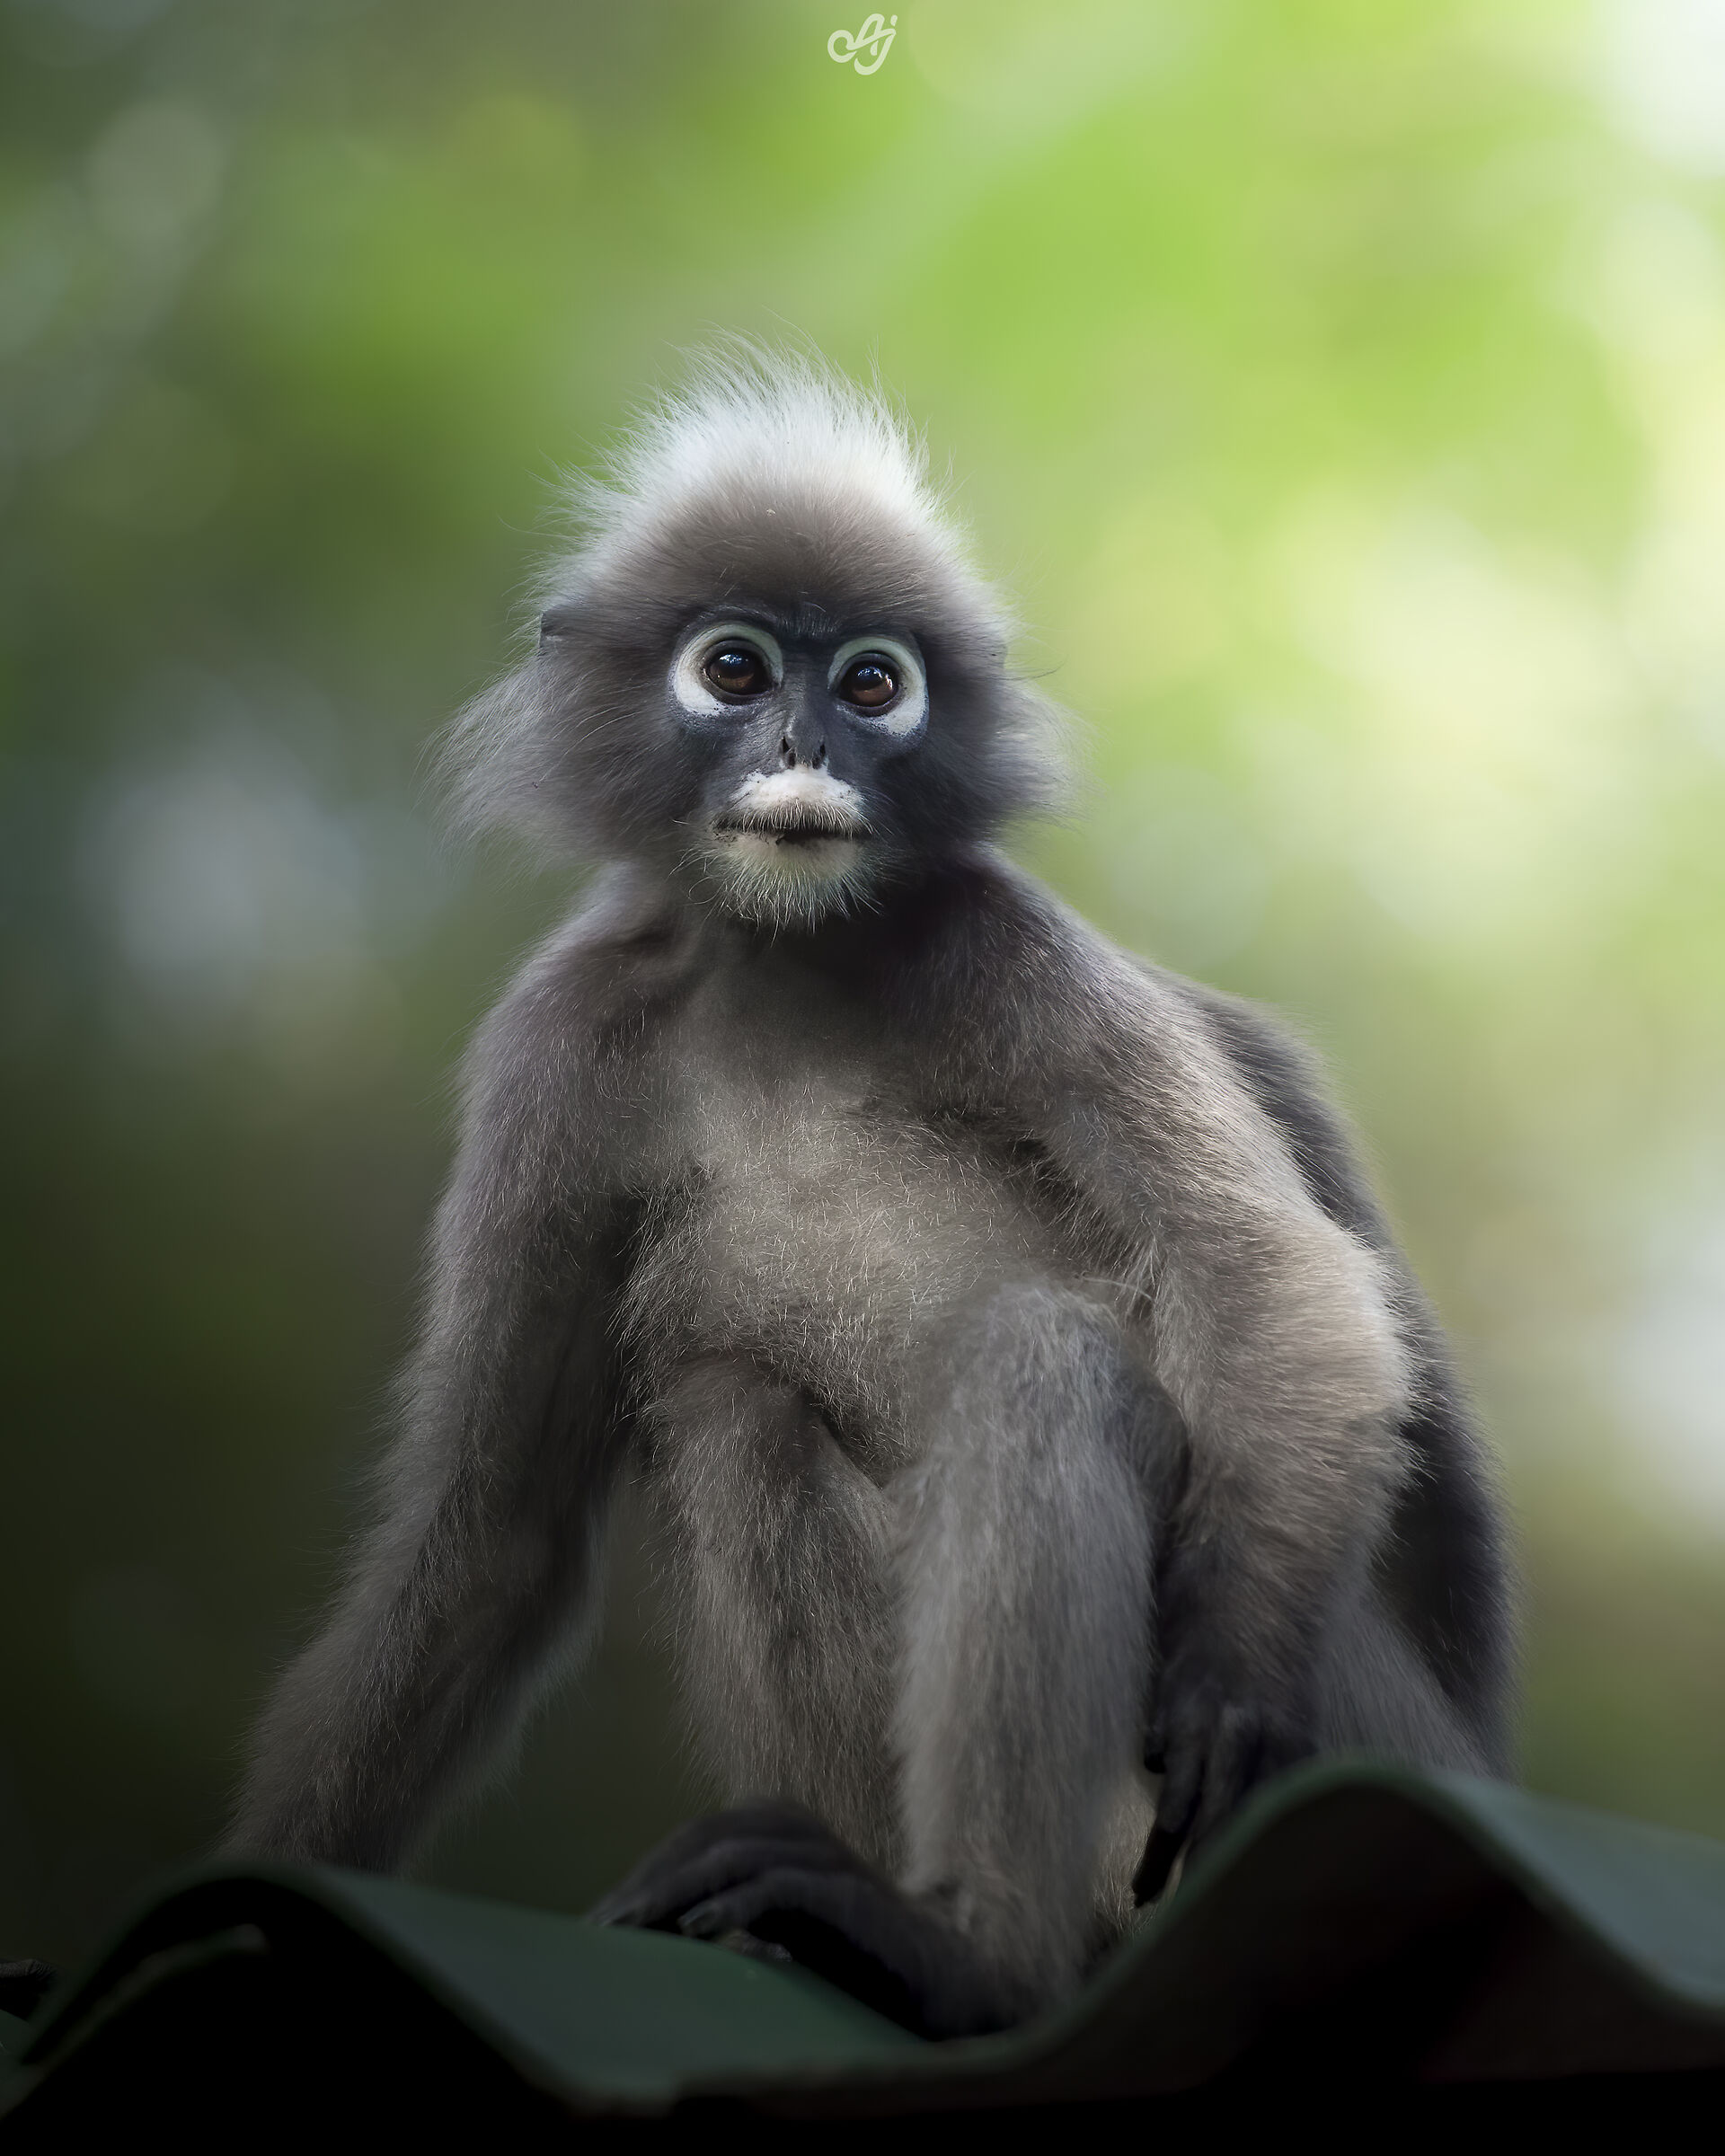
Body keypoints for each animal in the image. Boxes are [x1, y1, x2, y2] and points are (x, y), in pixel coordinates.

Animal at [226, 352, 1514, 2041]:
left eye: (871, 687)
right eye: (732, 668)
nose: (805, 749)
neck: (788, 966)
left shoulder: (1000, 947)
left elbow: (1269, 1282)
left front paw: (1231, 1683)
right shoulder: (554, 1053)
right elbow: (490, 1535)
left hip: (1360, 1728)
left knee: (1039, 1363)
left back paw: (967, 1953)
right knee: (729, 1405)